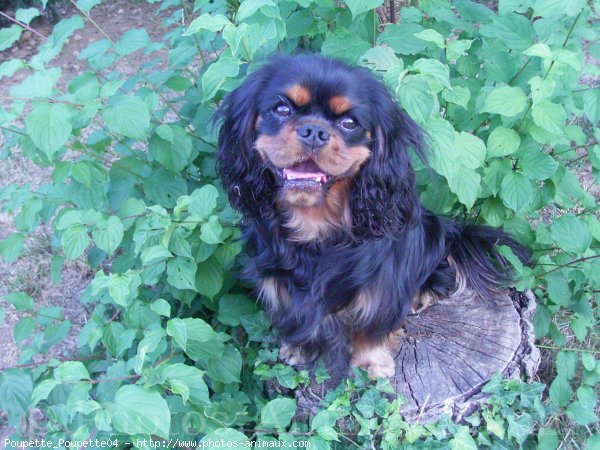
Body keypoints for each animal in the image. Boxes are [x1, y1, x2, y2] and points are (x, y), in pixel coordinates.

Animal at [217, 53, 528, 380]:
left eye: (349, 122)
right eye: (281, 109)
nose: (314, 131)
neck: (315, 226)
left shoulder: (382, 288)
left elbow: (370, 329)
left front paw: (372, 364)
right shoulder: (279, 284)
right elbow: (294, 317)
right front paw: (298, 349)